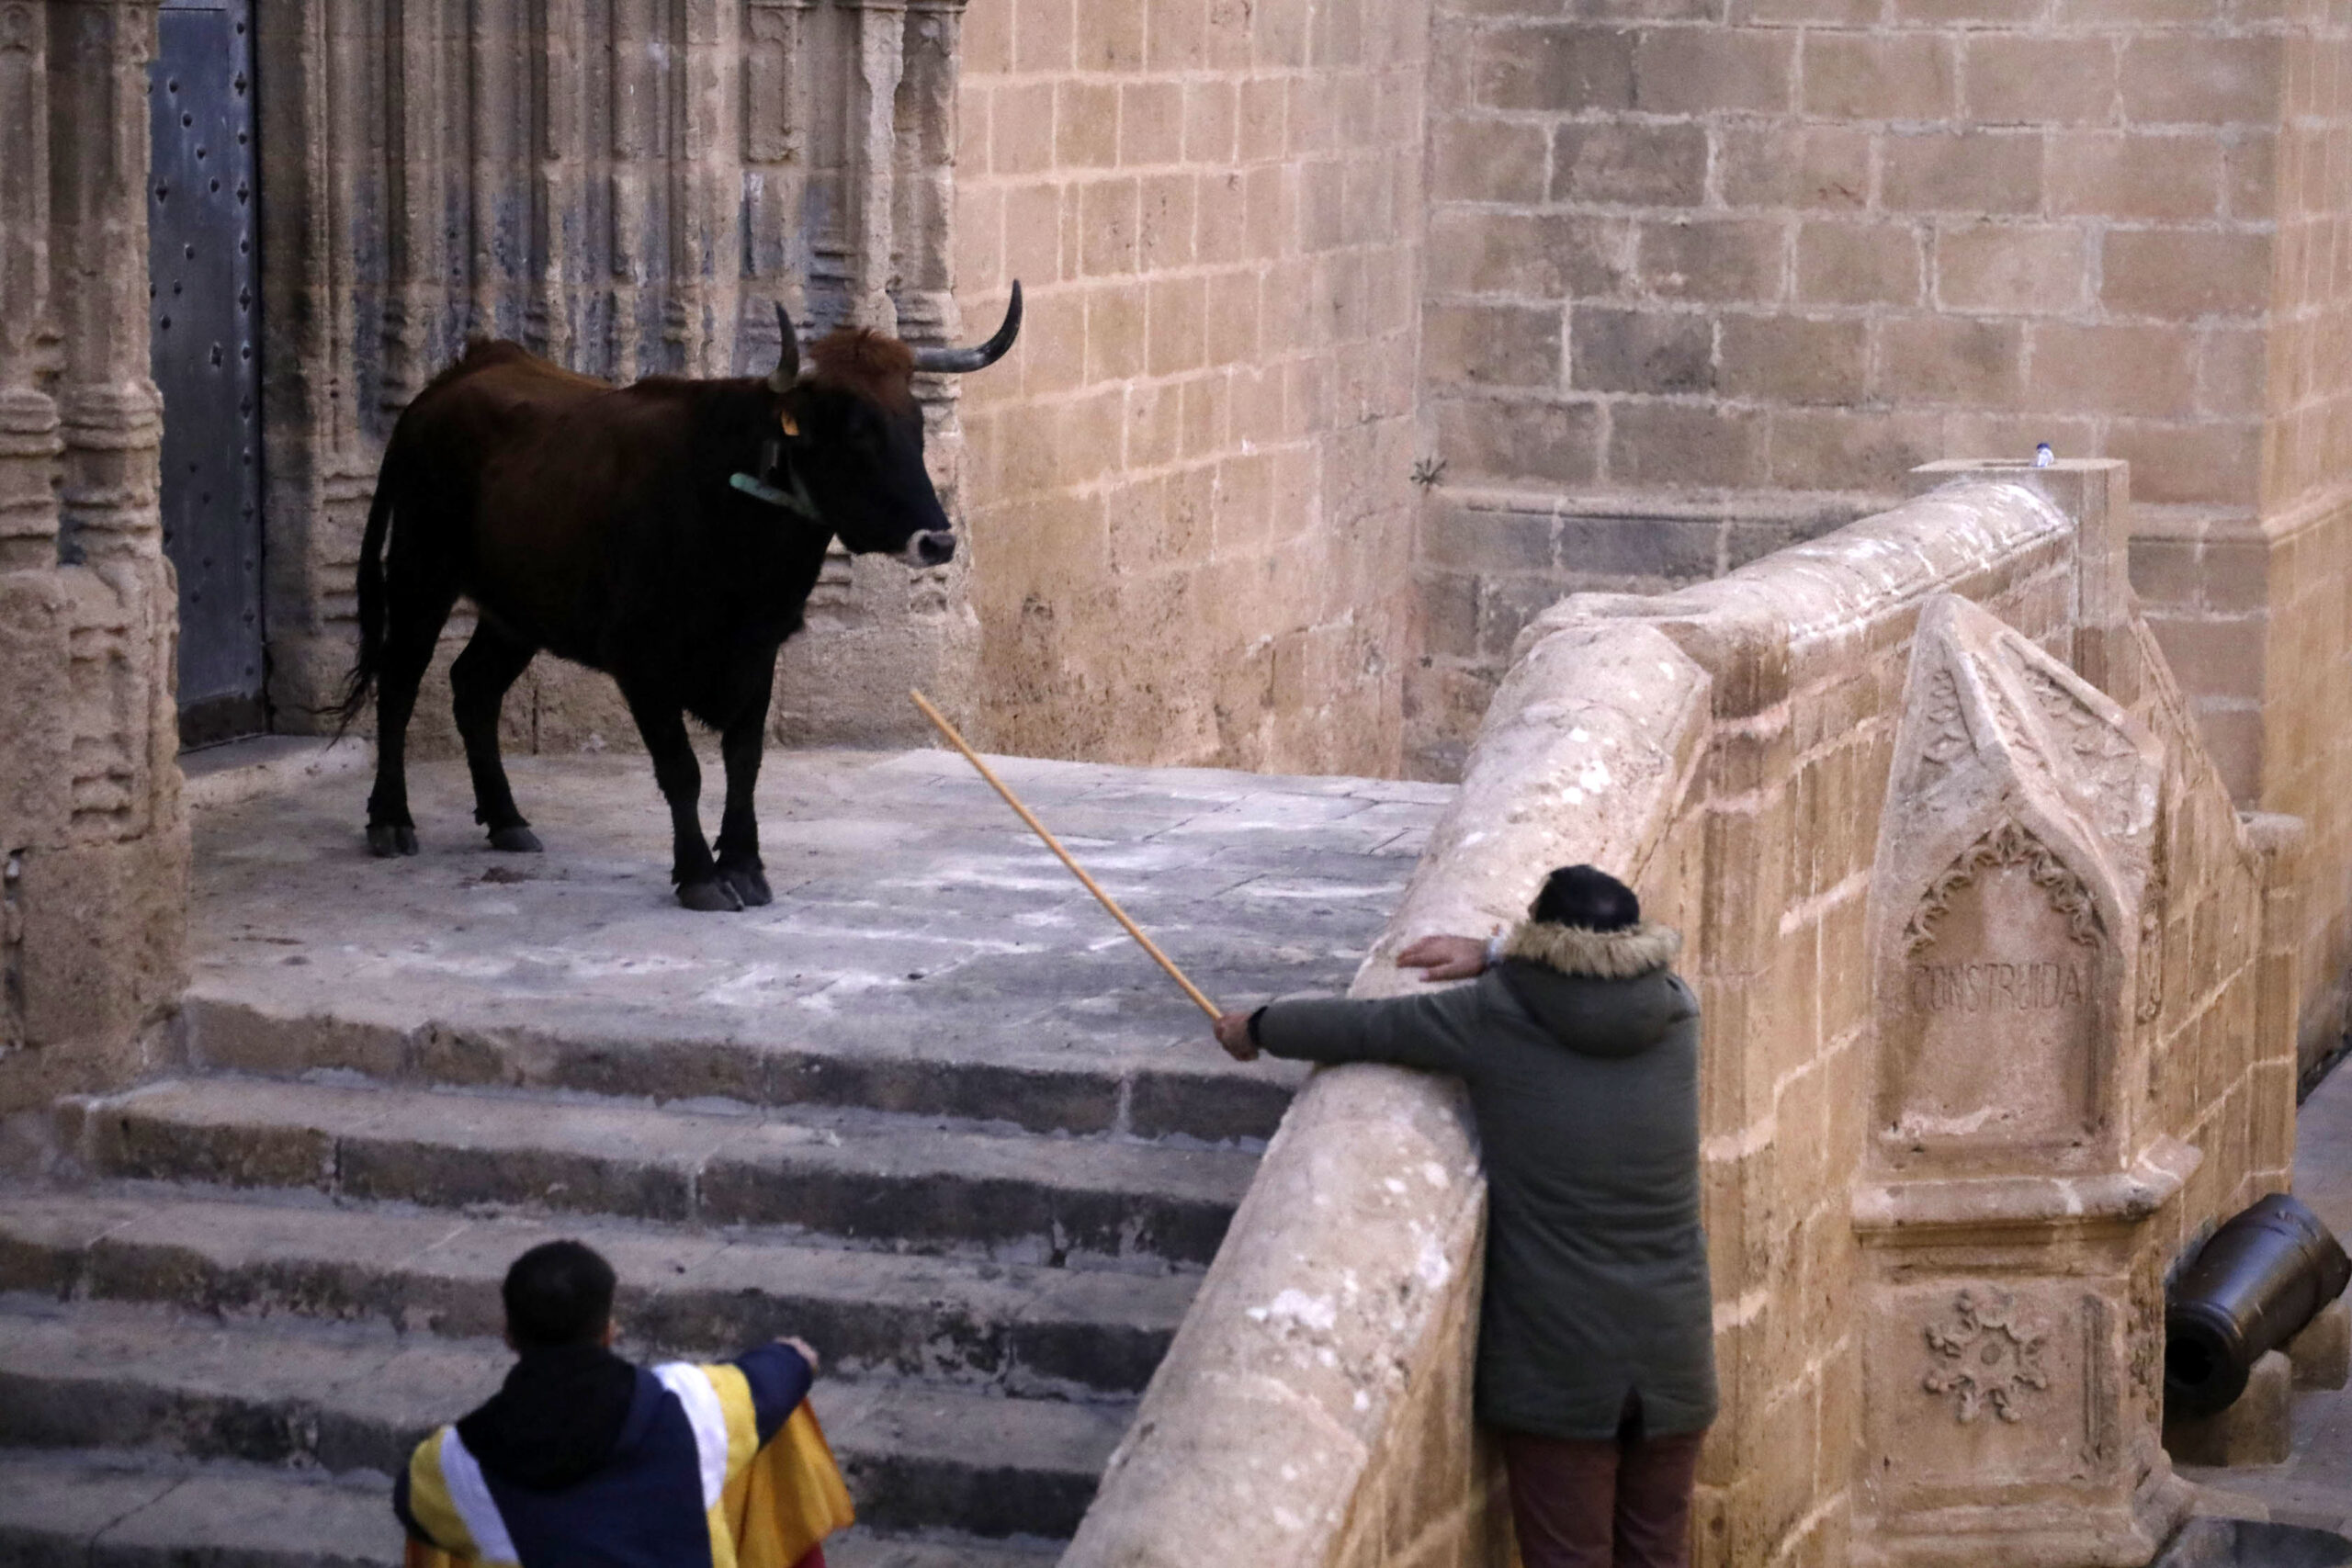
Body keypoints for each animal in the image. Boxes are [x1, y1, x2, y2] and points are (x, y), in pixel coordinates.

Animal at [338, 288, 1021, 911]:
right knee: (399, 685)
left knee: (473, 686)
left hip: (516, 612)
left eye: (915, 426)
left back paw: (506, 819)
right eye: (856, 434)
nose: (937, 540)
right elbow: (682, 769)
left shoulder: (758, 652)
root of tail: (453, 378)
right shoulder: (643, 663)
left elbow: (744, 762)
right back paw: (390, 819)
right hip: (421, 575)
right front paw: (699, 875)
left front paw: (744, 864)